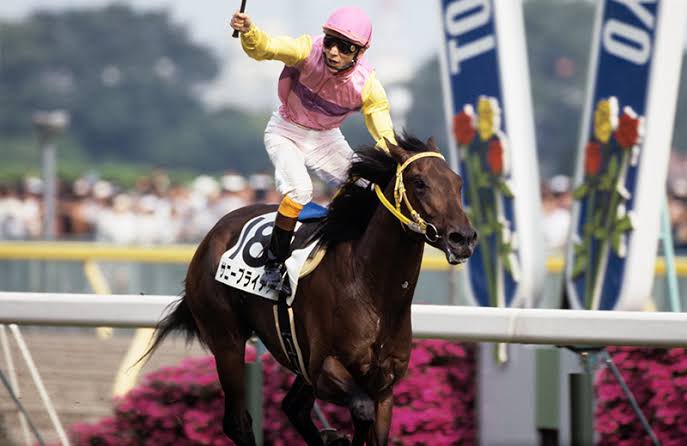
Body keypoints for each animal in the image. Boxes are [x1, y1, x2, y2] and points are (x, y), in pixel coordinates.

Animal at [142, 134, 477, 445]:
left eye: (458, 182)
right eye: (419, 182)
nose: (463, 237)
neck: (371, 289)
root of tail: (212, 233)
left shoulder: (384, 386)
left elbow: (371, 424)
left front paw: (337, 438)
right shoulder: (324, 369)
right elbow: (361, 410)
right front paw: (341, 437)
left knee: (293, 407)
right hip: (227, 342)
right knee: (238, 421)